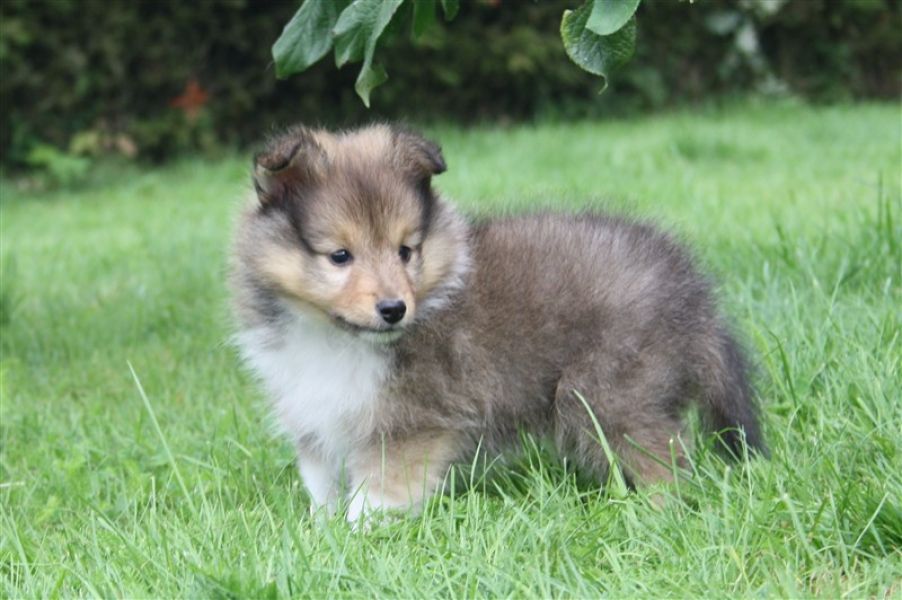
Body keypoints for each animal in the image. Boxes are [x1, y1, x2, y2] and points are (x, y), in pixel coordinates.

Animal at [230, 123, 766, 522]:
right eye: (340, 255)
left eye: (406, 250)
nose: (394, 309)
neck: (332, 336)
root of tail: (696, 297)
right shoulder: (315, 419)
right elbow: (321, 488)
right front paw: (319, 536)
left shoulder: (411, 426)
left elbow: (376, 496)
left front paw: (358, 537)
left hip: (608, 391)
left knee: (664, 457)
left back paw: (654, 517)